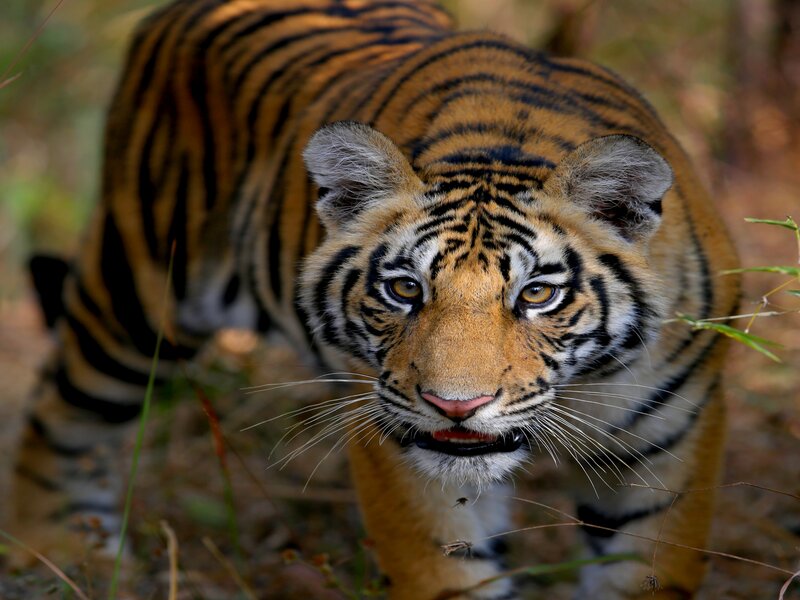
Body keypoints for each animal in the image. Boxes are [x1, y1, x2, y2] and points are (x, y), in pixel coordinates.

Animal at [7, 0, 740, 598]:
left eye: (537, 294)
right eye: (404, 288)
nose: (456, 406)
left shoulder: (669, 445)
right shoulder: (403, 447)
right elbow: (445, 572)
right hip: (136, 295)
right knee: (57, 413)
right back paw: (60, 554)